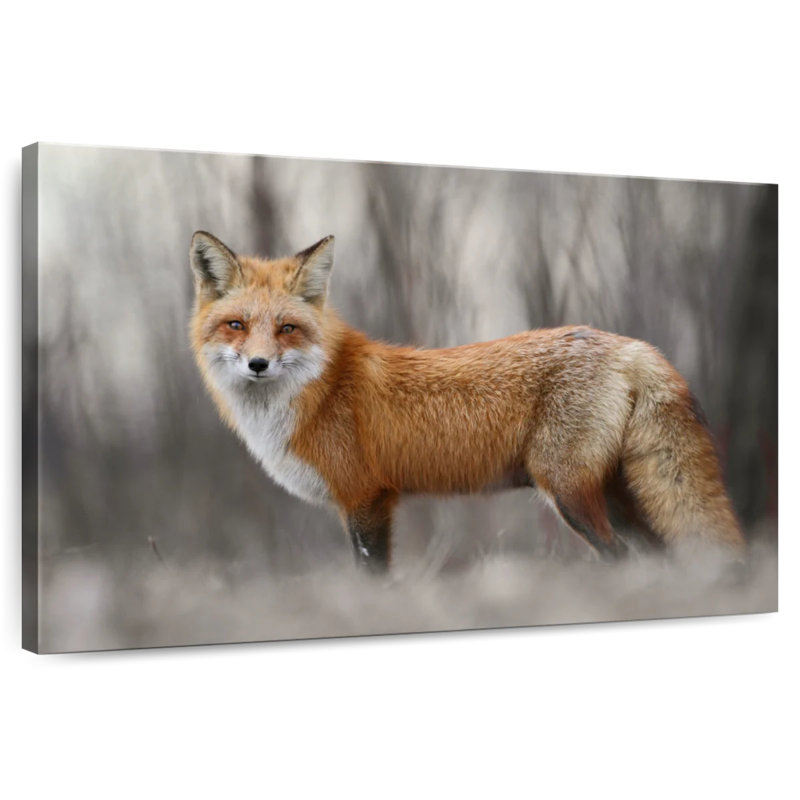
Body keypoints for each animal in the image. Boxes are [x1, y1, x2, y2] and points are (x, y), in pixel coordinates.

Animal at [189, 230, 746, 574]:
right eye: (236, 325)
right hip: (616, 497)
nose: (258, 364)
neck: (317, 393)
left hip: (570, 495)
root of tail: (633, 345)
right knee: (660, 557)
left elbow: (374, 578)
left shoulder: (366, 498)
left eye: (286, 328)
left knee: (622, 556)